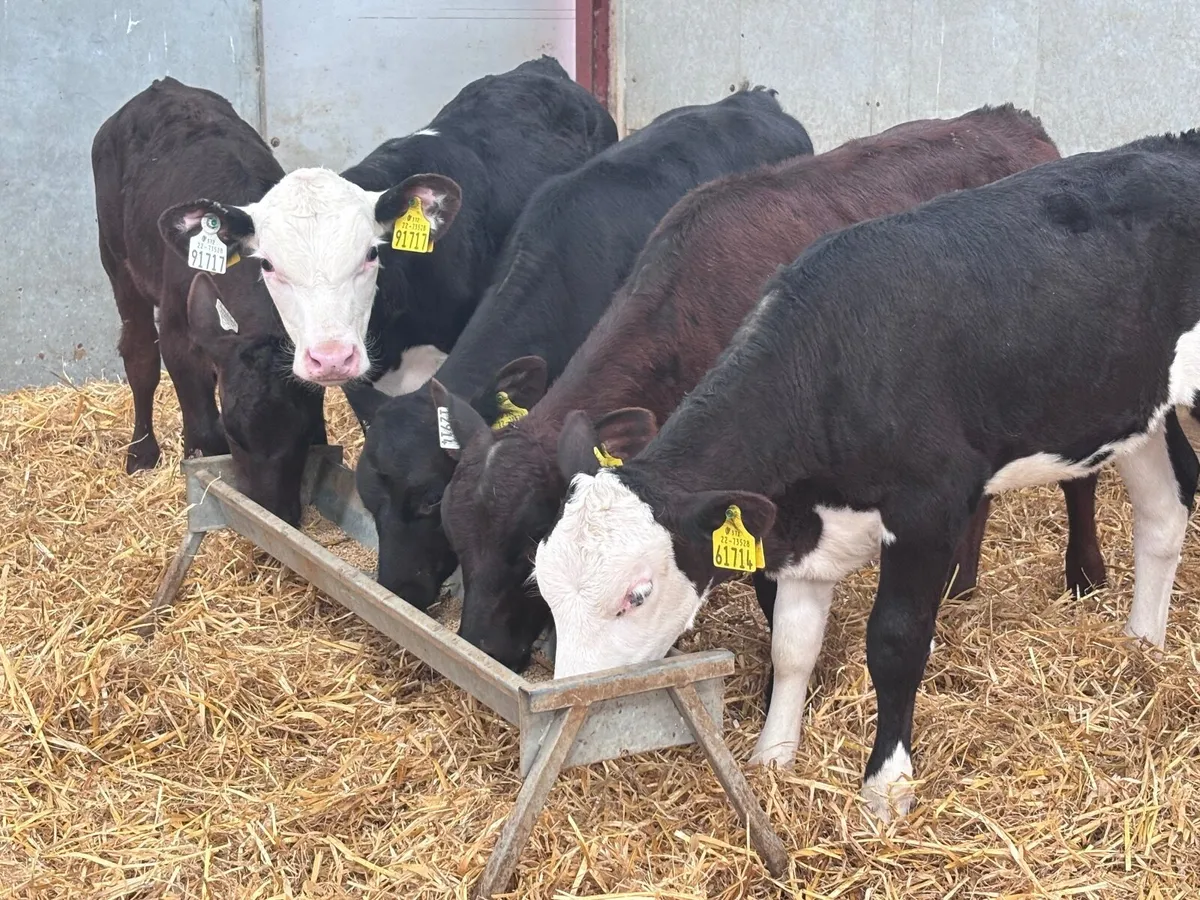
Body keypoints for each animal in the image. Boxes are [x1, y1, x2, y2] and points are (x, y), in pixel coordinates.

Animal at [93, 77, 325, 525]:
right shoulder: (180, 336)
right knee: (139, 355)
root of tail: (161, 85)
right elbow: (204, 427)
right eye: (236, 433)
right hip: (116, 259)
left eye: (305, 431)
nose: (276, 511)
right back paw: (141, 453)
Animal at [435, 105, 1106, 674]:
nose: (480, 648)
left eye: (525, 549)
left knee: (1082, 478)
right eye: (453, 533)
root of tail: (1014, 121)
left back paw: (1085, 576)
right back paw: (958, 585)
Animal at [531, 131, 1200, 823]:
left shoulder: (928, 510)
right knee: (1166, 505)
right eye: (542, 583)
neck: (832, 365)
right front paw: (773, 756)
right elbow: (792, 646)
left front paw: (886, 786)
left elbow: (897, 643)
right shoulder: (802, 531)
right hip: (1136, 405)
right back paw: (1143, 647)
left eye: (635, 595)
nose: (560, 717)